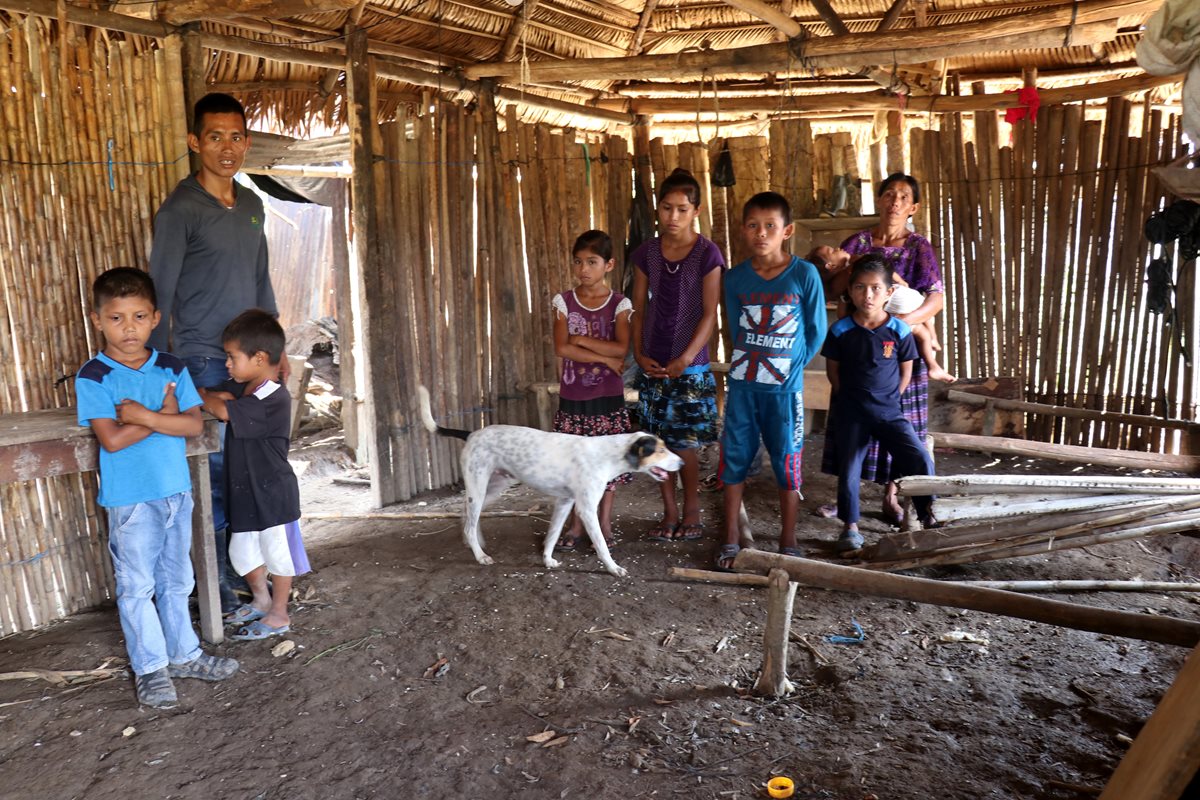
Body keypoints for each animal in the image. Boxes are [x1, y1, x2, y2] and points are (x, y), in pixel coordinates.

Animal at [417, 386, 681, 578]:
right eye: (660, 450)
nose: (681, 463)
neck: (609, 454)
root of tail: (472, 434)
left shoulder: (564, 502)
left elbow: (552, 535)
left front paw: (547, 560)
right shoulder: (586, 510)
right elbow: (601, 545)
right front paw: (613, 568)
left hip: (492, 488)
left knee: (466, 516)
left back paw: (473, 544)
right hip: (479, 487)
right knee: (470, 522)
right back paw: (480, 555)